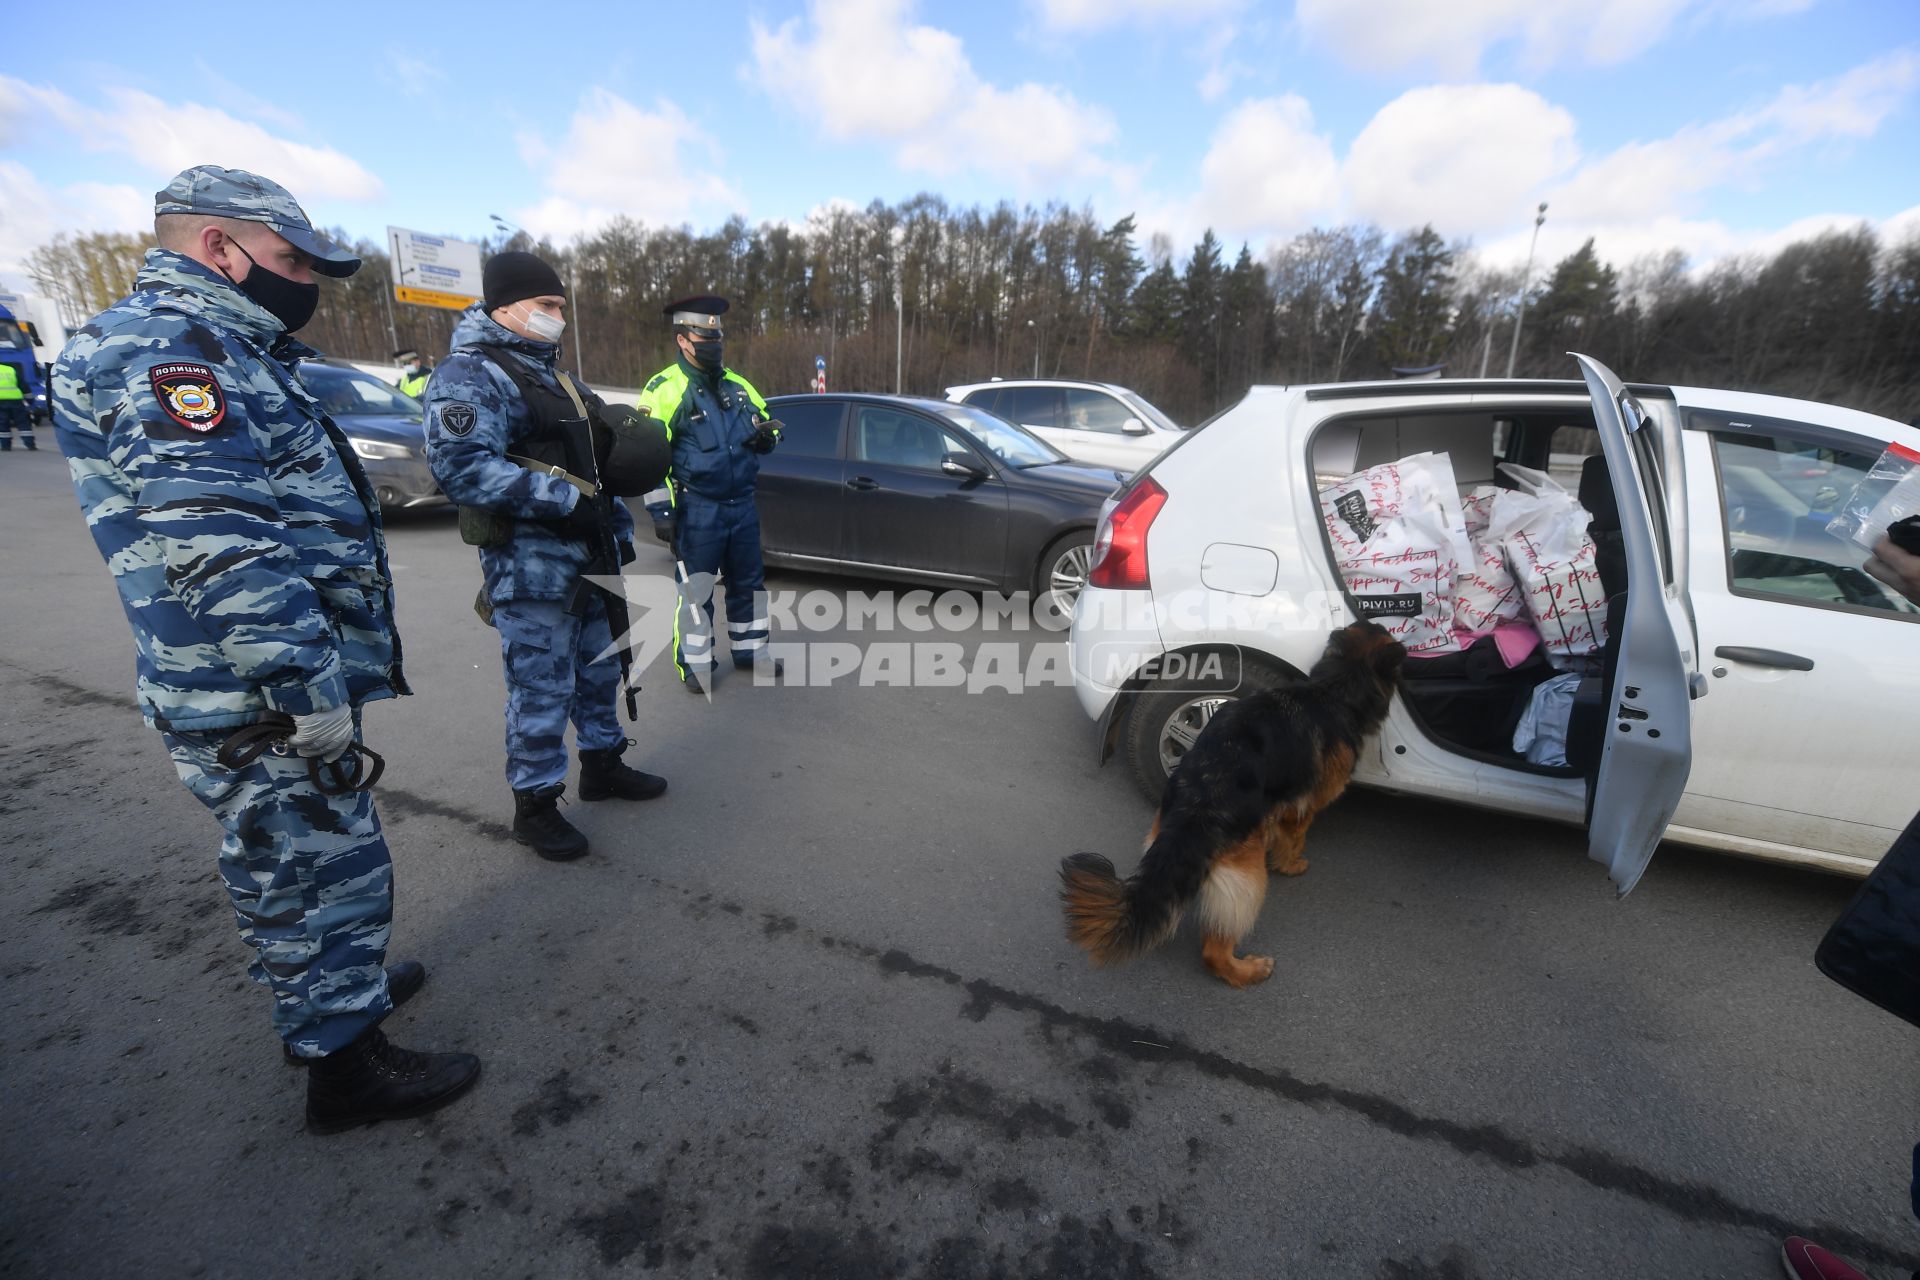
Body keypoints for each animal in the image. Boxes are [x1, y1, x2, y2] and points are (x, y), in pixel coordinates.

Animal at [1059, 621, 1405, 990]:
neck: (1334, 687)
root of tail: (1196, 804)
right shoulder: (1303, 806)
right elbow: (1295, 837)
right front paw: (1291, 864)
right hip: (1247, 878)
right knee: (1214, 949)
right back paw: (1246, 970)